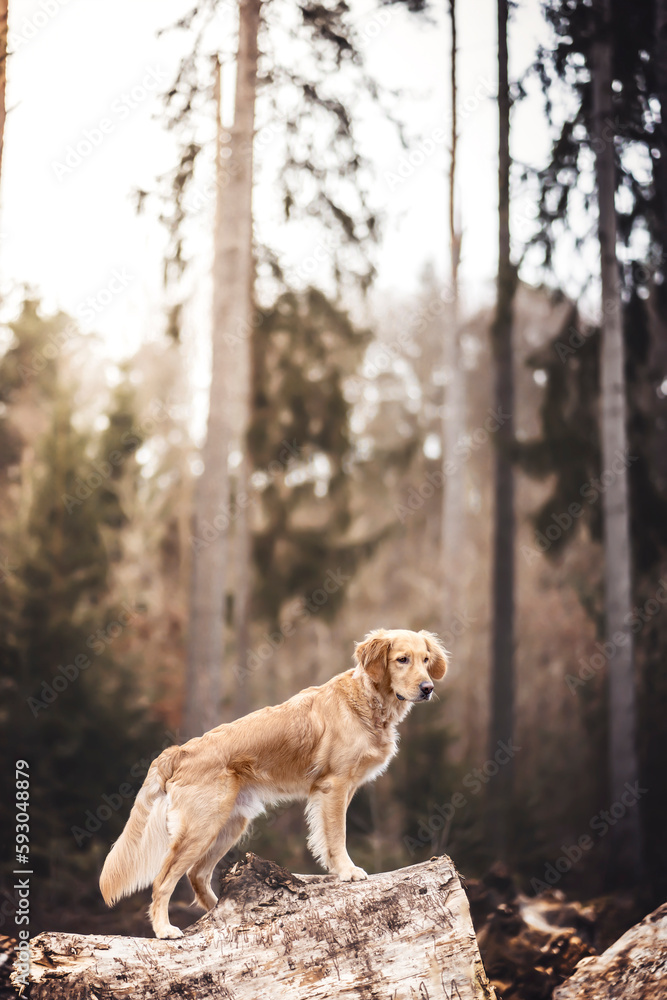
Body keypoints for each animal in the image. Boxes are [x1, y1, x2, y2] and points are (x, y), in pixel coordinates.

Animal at [99, 624, 448, 936]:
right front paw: (347, 871)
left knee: (198, 875)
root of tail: (180, 751)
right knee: (164, 880)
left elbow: (328, 836)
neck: (368, 702)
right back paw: (164, 929)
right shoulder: (335, 786)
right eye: (402, 659)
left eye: (425, 660)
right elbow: (338, 835)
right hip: (202, 826)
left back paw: (221, 918)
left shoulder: (339, 790)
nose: (428, 688)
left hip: (228, 825)